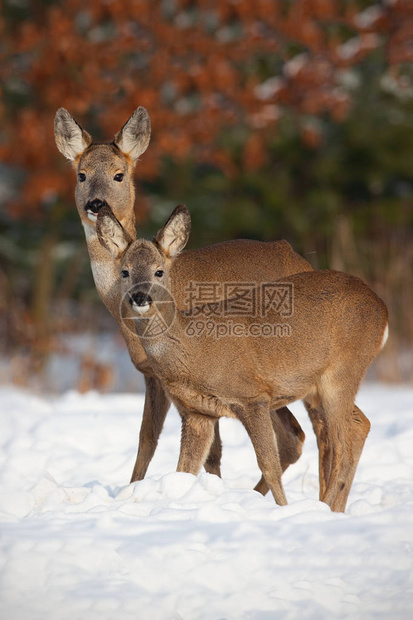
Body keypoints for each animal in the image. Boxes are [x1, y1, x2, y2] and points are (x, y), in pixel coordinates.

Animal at [54, 108, 308, 490]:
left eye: (119, 174)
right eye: (81, 174)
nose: (95, 204)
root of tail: (299, 258)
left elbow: (194, 446)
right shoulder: (150, 372)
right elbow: (147, 438)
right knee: (296, 436)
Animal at [96, 206, 386, 512]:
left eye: (159, 271)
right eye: (125, 272)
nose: (140, 297)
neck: (193, 348)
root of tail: (382, 308)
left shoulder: (252, 396)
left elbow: (268, 464)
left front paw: (282, 509)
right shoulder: (197, 413)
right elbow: (184, 471)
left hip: (343, 371)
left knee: (344, 443)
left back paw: (325, 508)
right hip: (321, 386)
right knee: (361, 424)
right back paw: (336, 509)